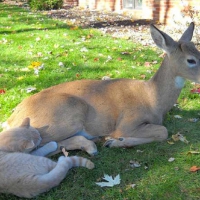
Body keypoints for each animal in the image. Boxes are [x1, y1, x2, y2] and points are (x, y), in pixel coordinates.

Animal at [2, 21, 200, 156]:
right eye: (191, 60)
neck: (152, 99)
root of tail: (12, 118)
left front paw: (113, 141)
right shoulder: (127, 122)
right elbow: (162, 131)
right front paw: (116, 141)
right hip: (65, 115)